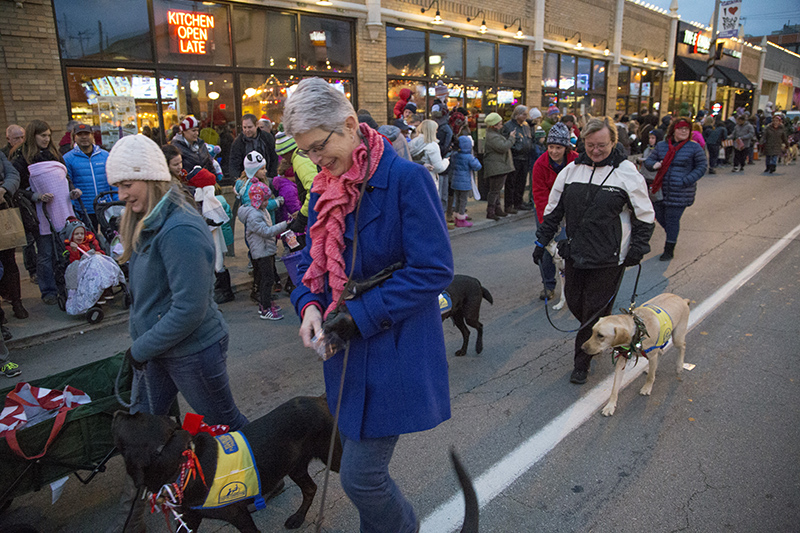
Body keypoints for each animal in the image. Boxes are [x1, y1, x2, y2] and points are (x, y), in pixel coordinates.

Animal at [111, 392, 342, 528]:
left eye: (132, 417)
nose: (117, 412)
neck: (183, 466)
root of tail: (320, 399)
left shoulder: (238, 515)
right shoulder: (190, 518)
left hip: (332, 456)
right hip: (294, 465)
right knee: (311, 489)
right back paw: (298, 518)